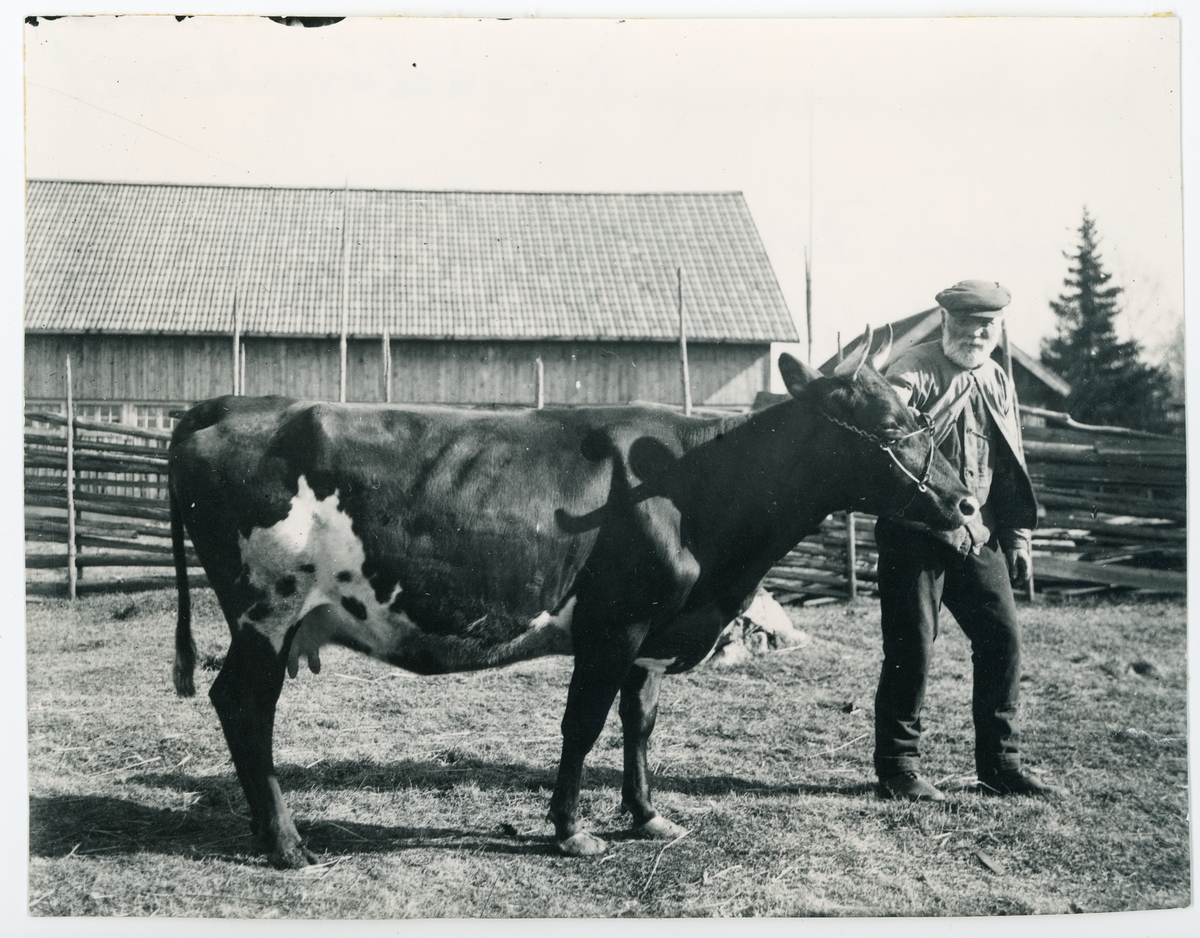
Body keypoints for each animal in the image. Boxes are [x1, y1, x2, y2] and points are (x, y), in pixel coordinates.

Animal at [166, 333, 974, 873]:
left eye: (918, 414)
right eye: (894, 426)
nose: (966, 499)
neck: (698, 489)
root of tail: (226, 403)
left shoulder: (654, 634)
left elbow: (639, 724)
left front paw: (648, 817)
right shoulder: (615, 625)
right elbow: (582, 725)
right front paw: (569, 830)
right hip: (266, 611)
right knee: (243, 704)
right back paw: (287, 843)